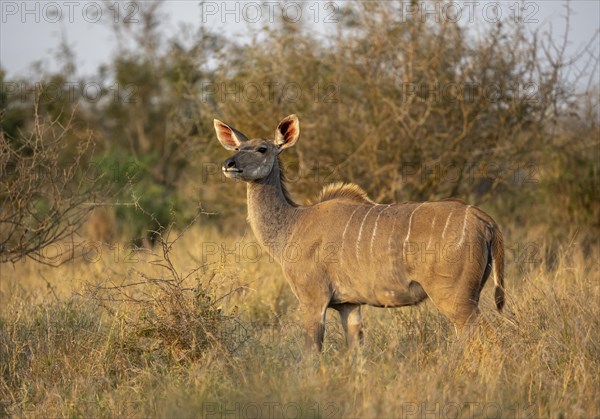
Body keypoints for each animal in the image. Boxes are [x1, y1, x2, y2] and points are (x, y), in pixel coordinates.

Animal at [213, 115, 504, 352]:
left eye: (262, 149)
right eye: (237, 148)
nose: (229, 163)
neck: (292, 224)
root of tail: (485, 219)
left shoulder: (313, 299)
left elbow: (311, 353)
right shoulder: (349, 305)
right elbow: (355, 351)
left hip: (455, 299)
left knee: (487, 338)